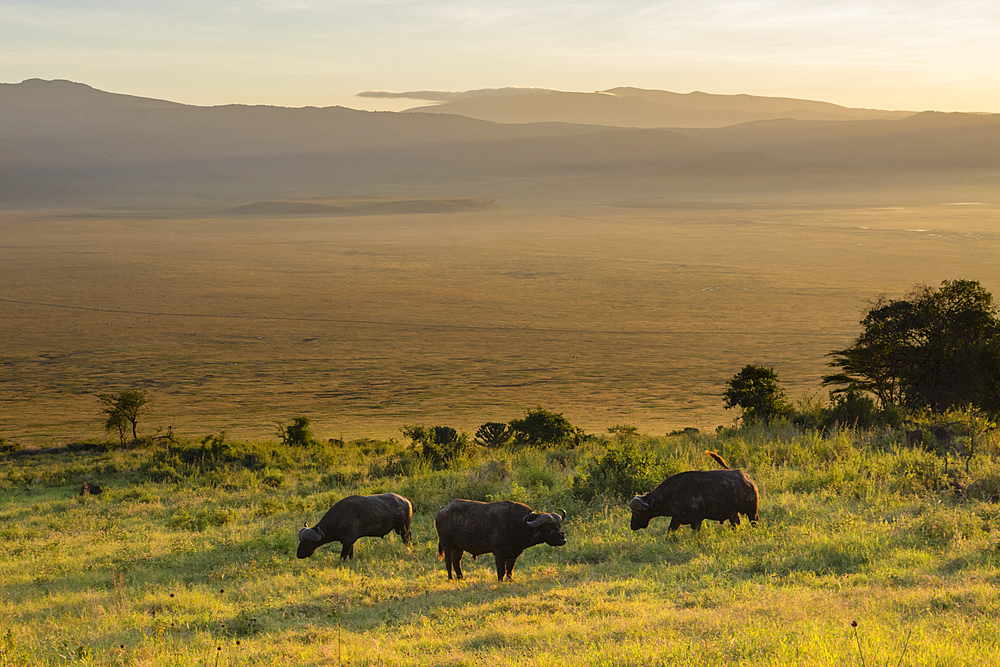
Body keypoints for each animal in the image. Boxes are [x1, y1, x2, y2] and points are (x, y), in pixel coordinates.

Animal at [436, 498, 568, 580]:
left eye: (558, 525)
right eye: (549, 527)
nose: (563, 540)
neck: (517, 523)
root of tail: (442, 509)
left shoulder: (513, 553)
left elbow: (509, 569)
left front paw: (509, 579)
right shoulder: (499, 553)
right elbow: (501, 570)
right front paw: (501, 580)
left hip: (459, 547)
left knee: (456, 561)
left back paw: (461, 577)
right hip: (446, 544)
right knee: (448, 561)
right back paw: (450, 578)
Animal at [628, 452, 760, 536]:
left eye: (637, 512)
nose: (632, 526)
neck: (674, 493)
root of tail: (748, 479)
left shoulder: (696, 520)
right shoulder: (677, 518)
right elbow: (670, 531)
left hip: (751, 511)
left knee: (754, 522)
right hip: (733, 513)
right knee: (735, 524)